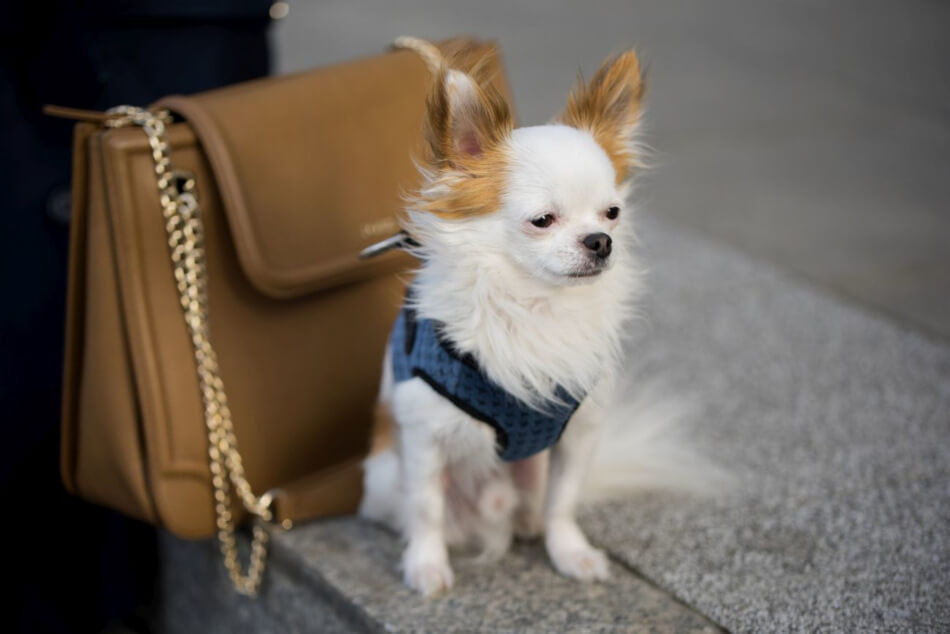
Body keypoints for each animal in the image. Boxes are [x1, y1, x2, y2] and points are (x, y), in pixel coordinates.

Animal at [362, 43, 648, 592]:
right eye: (542, 220)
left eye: (612, 213)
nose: (600, 242)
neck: (538, 303)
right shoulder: (424, 434)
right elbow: (426, 507)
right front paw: (427, 566)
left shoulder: (578, 432)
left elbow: (563, 502)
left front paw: (570, 553)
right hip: (386, 473)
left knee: (536, 501)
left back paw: (529, 522)